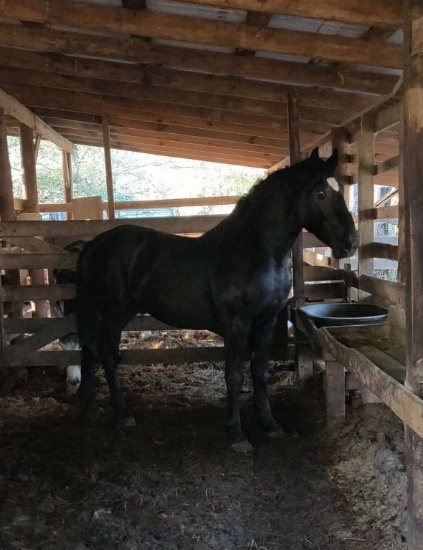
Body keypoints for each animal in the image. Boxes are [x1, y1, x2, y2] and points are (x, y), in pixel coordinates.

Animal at [75, 148, 358, 452]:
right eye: (320, 193)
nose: (351, 242)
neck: (254, 253)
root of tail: (94, 244)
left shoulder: (266, 323)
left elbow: (260, 373)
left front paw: (270, 425)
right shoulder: (237, 325)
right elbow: (234, 376)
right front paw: (237, 434)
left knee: (90, 351)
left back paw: (91, 406)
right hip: (114, 315)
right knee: (106, 355)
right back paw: (123, 415)